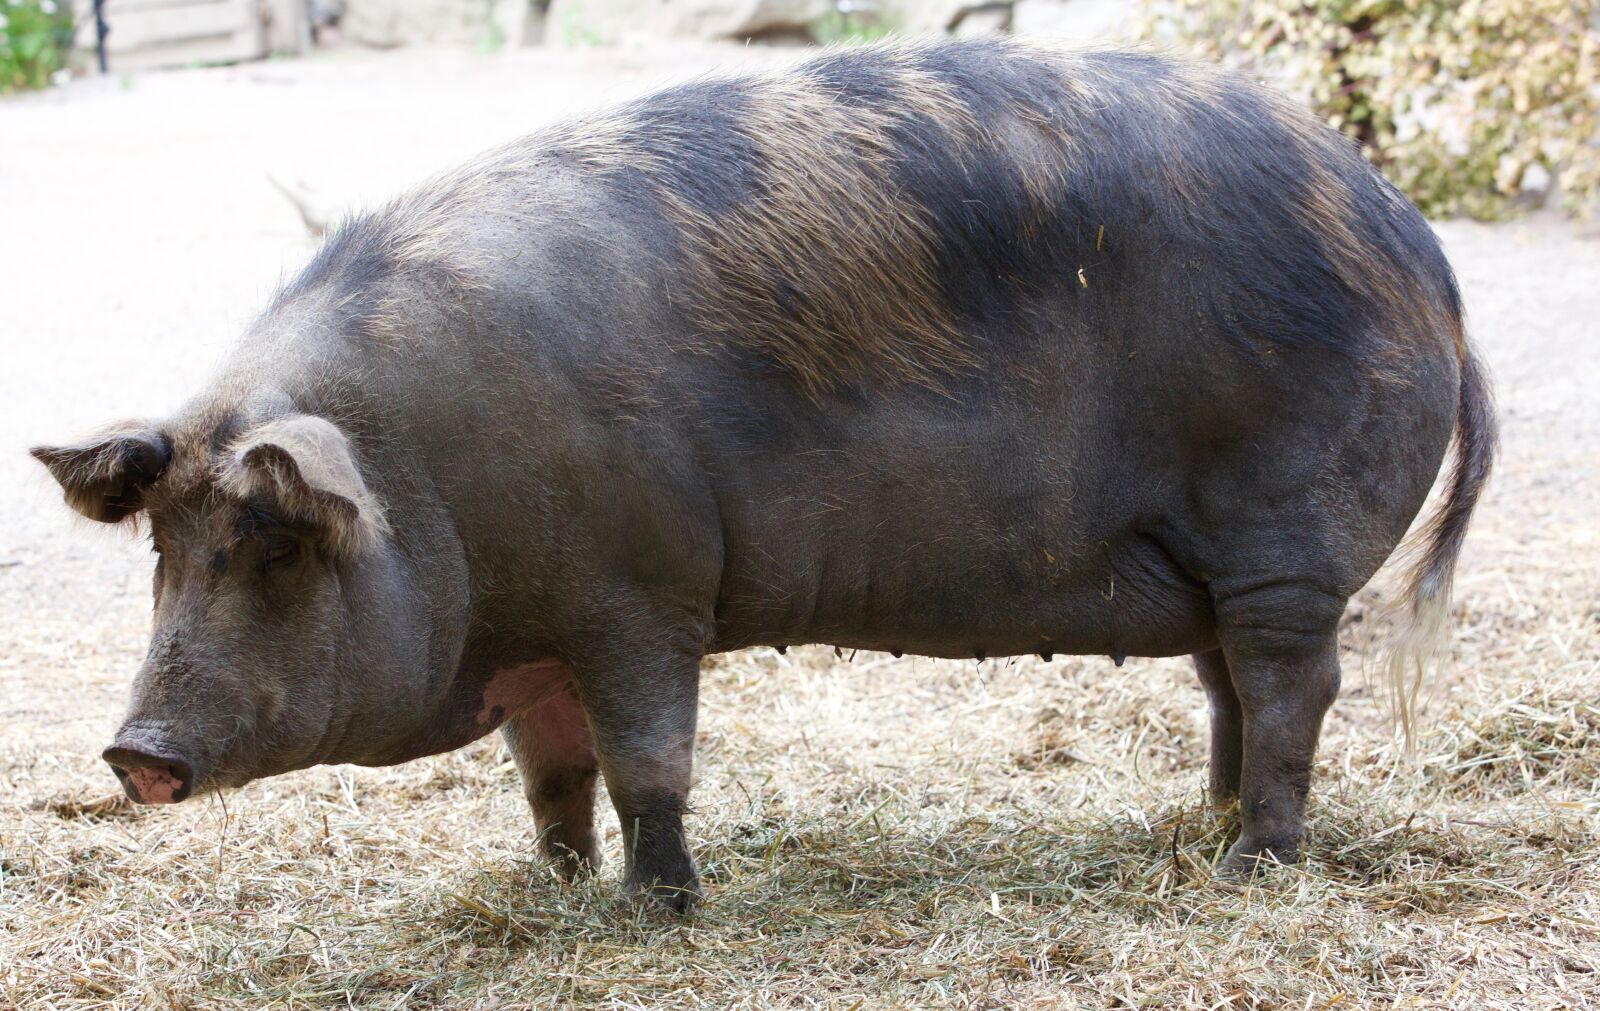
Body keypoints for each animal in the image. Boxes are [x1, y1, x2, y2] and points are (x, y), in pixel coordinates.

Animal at [32, 39, 1494, 908]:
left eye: (274, 541)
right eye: (163, 545)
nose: (131, 751)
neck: (429, 470)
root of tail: (1424, 258)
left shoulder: (638, 594)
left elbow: (647, 760)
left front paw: (659, 911)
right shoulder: (537, 633)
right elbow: (550, 776)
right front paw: (555, 890)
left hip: (1285, 536)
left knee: (1296, 684)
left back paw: (1250, 866)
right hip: (1216, 566)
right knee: (1229, 689)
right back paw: (1201, 826)